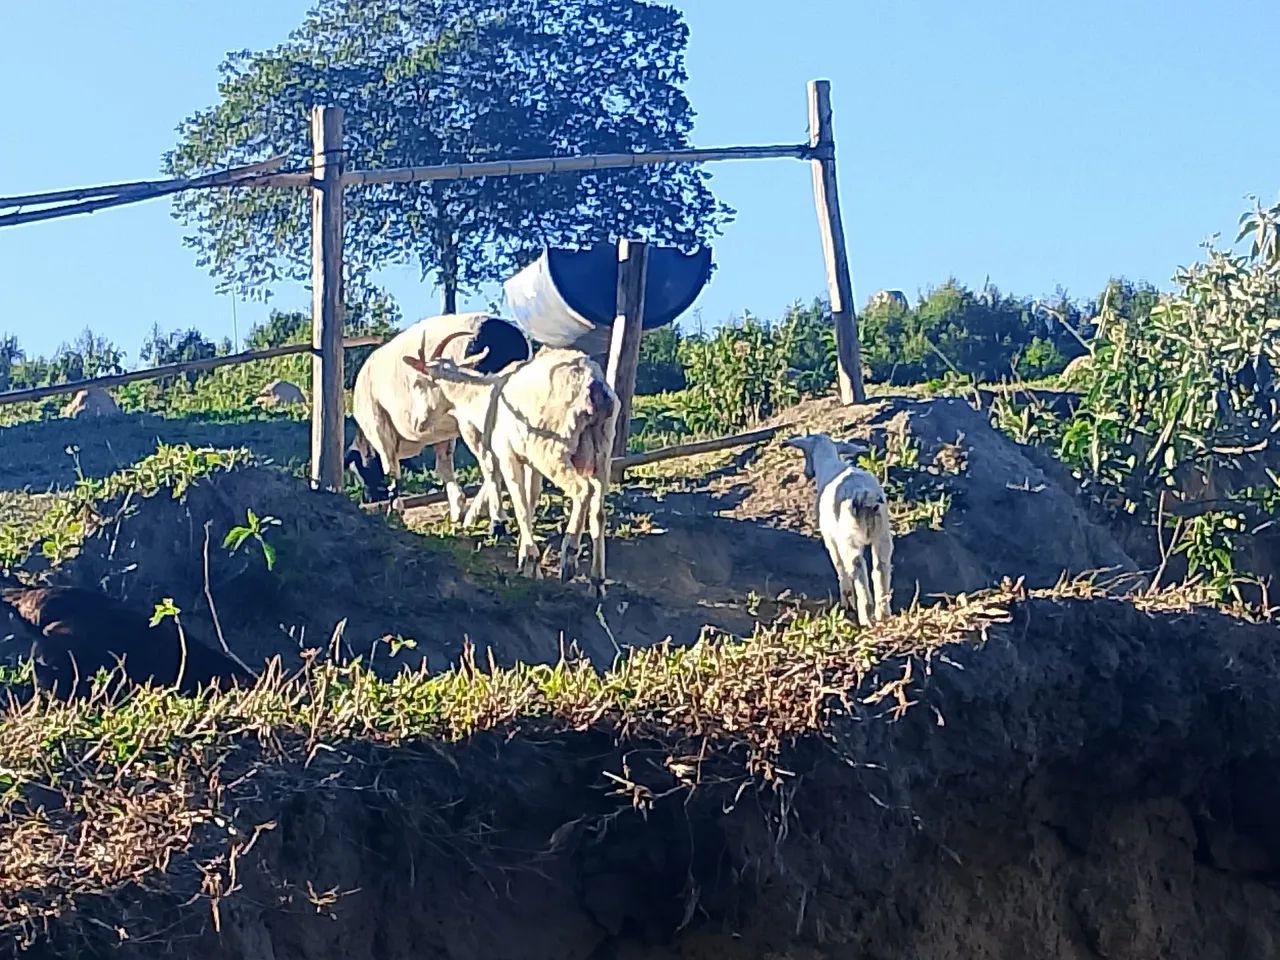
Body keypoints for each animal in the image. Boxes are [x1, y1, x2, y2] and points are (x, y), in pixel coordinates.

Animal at [346, 312, 531, 520]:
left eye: (358, 469)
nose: (368, 498)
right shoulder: (442, 433)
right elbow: (442, 467)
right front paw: (457, 508)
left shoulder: (379, 427)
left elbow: (392, 470)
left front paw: (395, 509)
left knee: (490, 460)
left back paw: (481, 513)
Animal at [404, 341, 619, 583]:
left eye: (418, 383)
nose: (418, 424)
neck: (485, 397)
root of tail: (593, 385)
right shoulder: (530, 461)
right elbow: (531, 497)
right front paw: (527, 557)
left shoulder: (508, 452)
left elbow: (519, 500)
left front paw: (527, 555)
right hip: (602, 450)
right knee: (598, 508)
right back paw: (597, 580)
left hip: (552, 451)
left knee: (582, 490)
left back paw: (569, 557)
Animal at [782, 432, 894, 625]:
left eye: (805, 453)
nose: (807, 473)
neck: (829, 462)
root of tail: (864, 495)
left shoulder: (831, 539)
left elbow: (839, 567)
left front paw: (846, 601)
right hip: (882, 534)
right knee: (880, 567)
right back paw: (883, 614)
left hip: (850, 538)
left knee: (857, 568)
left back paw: (865, 616)